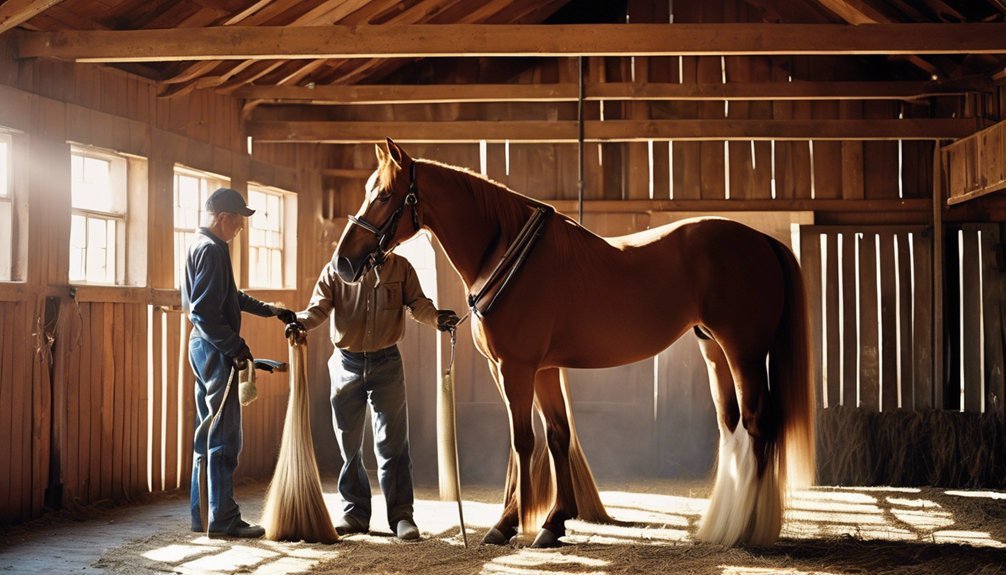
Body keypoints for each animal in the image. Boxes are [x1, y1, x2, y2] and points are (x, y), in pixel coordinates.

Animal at [333, 137, 812, 546]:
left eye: (383, 196)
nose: (343, 263)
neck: (507, 254)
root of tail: (762, 241)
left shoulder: (515, 368)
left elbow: (523, 442)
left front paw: (508, 524)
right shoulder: (543, 369)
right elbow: (557, 435)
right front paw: (554, 523)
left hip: (744, 352)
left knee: (756, 423)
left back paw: (746, 530)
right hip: (714, 350)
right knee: (731, 424)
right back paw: (722, 524)